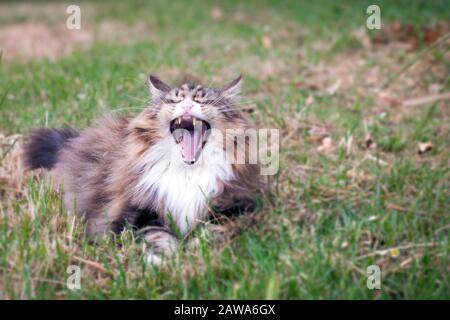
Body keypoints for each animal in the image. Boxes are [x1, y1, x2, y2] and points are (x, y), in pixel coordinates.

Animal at [22, 75, 264, 264]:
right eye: (174, 100)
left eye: (202, 100)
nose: (187, 105)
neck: (187, 172)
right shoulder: (138, 212)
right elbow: (156, 237)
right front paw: (166, 260)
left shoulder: (235, 206)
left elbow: (212, 231)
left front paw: (198, 249)